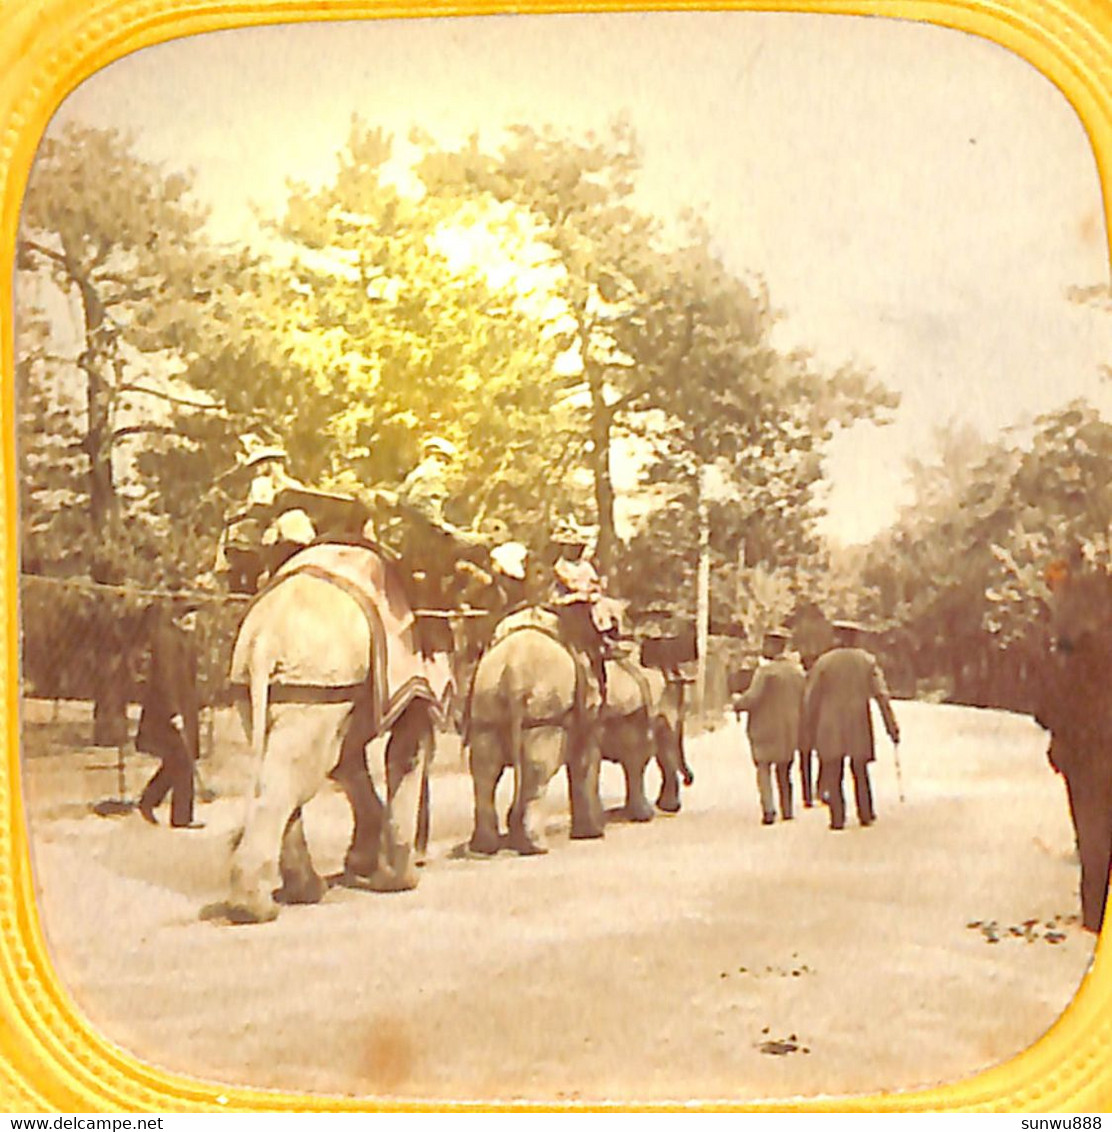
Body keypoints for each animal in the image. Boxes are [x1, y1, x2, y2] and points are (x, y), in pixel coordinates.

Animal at [224, 543, 446, 923]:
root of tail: (266, 633)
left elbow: (349, 762)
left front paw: (360, 866)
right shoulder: (405, 672)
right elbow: (404, 749)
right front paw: (396, 882)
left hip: (274, 679)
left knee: (288, 764)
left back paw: (300, 895)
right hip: (316, 673)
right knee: (300, 772)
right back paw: (256, 910)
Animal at [468, 606, 611, 851]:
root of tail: (512, 670)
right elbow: (587, 758)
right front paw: (593, 834)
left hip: (486, 695)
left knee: (485, 767)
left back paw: (485, 847)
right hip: (544, 709)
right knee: (539, 766)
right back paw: (537, 848)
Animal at [602, 656, 697, 824]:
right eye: (683, 711)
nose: (688, 780)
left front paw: (667, 808)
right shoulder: (635, 717)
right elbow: (638, 759)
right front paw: (645, 816)